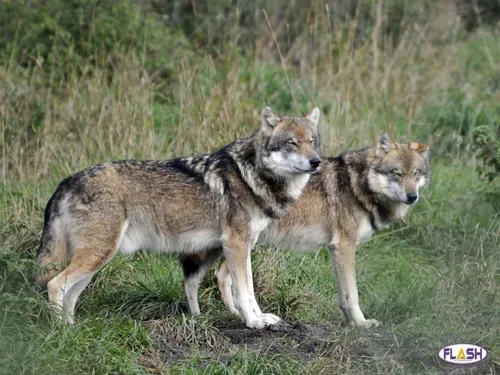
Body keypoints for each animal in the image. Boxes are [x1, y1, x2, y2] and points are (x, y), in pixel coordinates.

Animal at [37, 106, 322, 328]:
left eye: (311, 142)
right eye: (292, 143)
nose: (316, 162)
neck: (250, 175)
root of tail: (67, 181)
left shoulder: (244, 245)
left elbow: (249, 289)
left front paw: (261, 318)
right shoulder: (236, 244)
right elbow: (244, 291)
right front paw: (253, 322)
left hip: (97, 260)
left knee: (70, 295)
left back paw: (72, 328)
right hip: (97, 255)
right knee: (54, 285)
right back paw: (62, 332)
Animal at [180, 134, 430, 328]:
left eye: (416, 174)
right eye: (397, 173)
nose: (412, 197)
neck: (357, 185)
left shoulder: (336, 251)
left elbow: (343, 295)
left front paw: (349, 324)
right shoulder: (344, 247)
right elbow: (352, 294)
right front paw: (361, 323)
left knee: (221, 276)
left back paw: (235, 314)